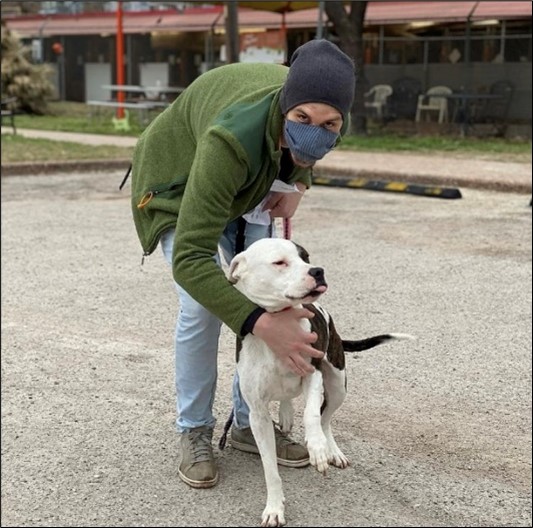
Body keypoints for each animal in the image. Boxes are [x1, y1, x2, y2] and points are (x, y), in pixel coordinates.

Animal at [227, 237, 414, 524]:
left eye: (305, 257)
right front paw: (274, 507)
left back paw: (331, 449)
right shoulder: (257, 415)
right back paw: (286, 415)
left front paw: (317, 448)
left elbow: (312, 414)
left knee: (326, 417)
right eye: (279, 262)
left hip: (337, 385)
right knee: (290, 399)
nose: (317, 271)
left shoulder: (312, 374)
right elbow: (270, 468)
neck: (279, 327)